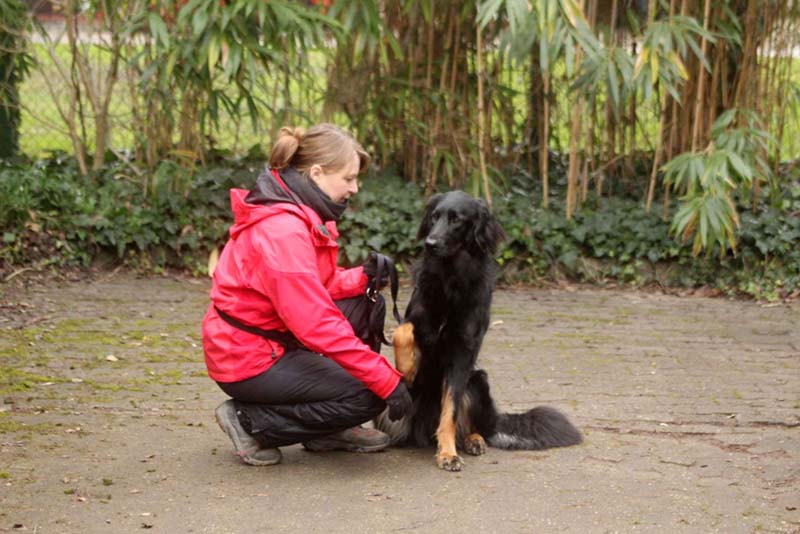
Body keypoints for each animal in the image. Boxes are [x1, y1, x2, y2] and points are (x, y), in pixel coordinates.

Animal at [376, 192, 580, 474]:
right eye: (434, 216)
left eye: (457, 220)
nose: (430, 243)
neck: (450, 278)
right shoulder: (418, 320)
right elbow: (402, 331)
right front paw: (407, 368)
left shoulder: (463, 351)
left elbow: (450, 411)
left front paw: (448, 453)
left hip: (478, 381)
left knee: (471, 425)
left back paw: (473, 440)